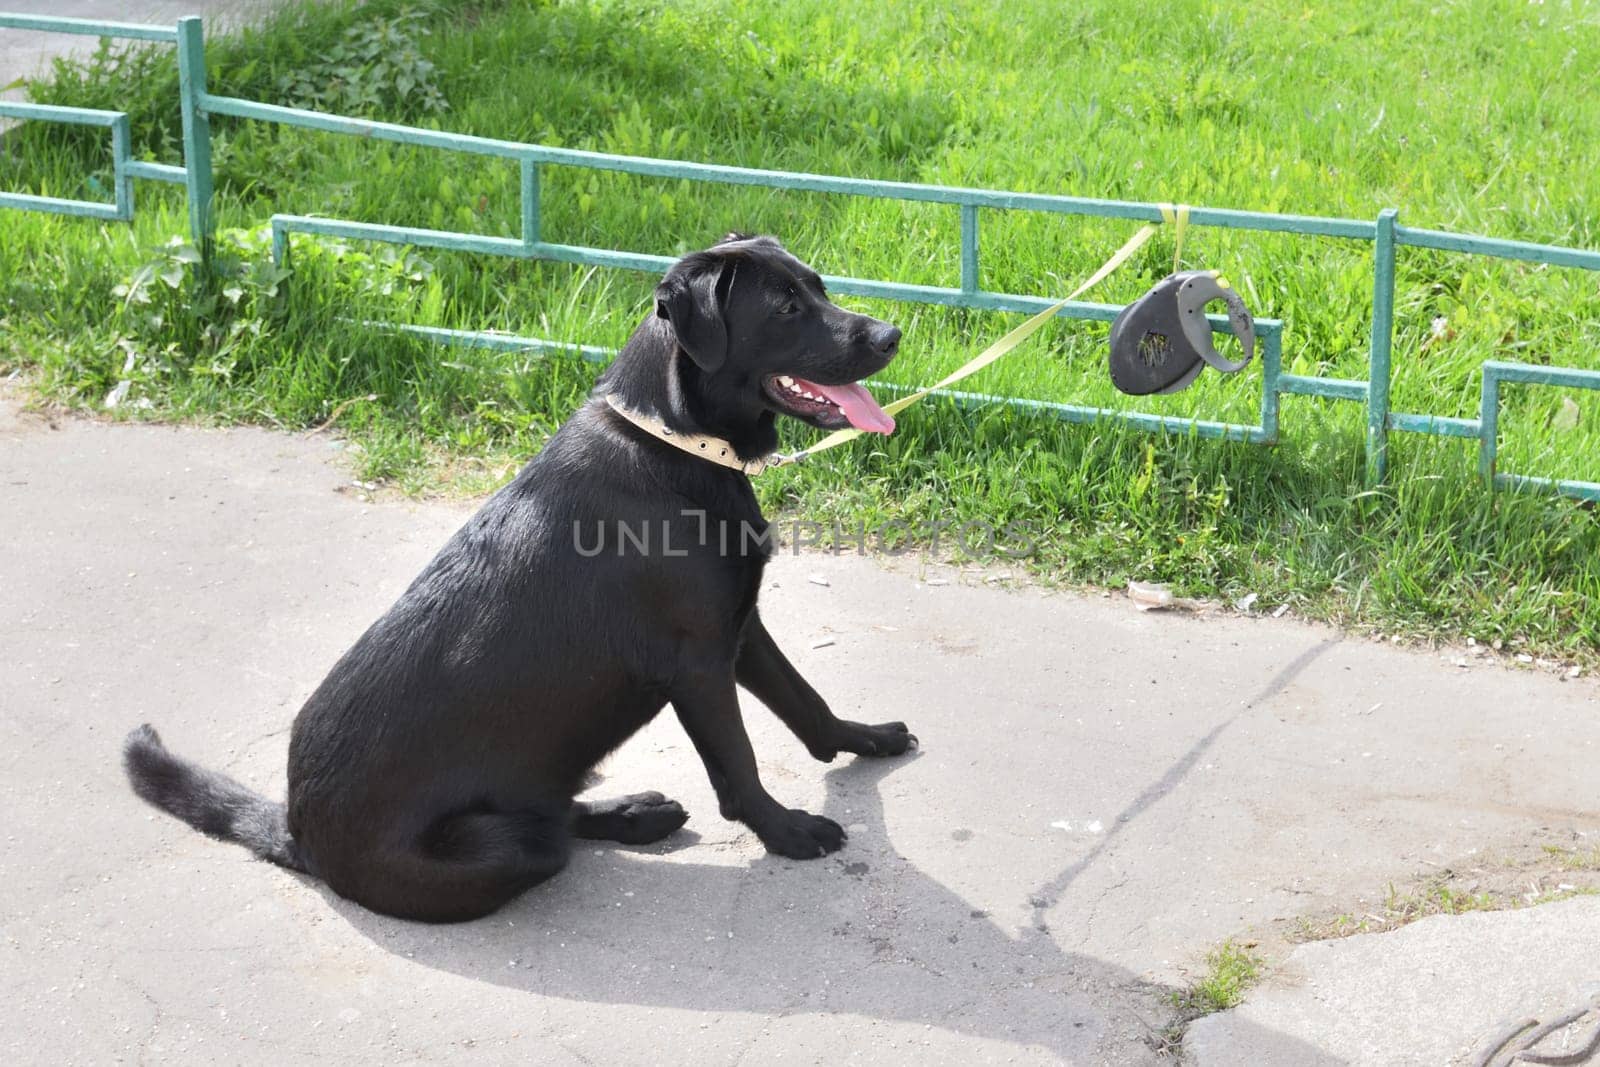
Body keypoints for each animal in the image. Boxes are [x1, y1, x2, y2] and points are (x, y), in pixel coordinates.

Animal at [128, 235, 915, 927]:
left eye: (818, 286)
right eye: (784, 306)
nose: (892, 334)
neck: (674, 437)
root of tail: (297, 832)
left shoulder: (740, 628)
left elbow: (805, 701)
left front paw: (865, 738)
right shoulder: (698, 662)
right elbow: (740, 764)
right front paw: (787, 833)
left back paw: (636, 812)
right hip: (510, 846)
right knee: (552, 833)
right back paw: (630, 817)